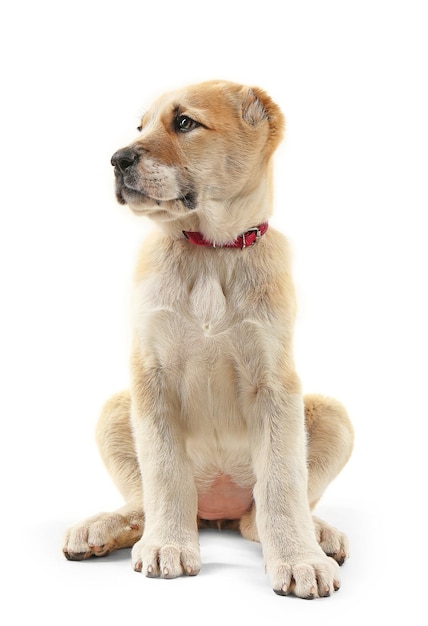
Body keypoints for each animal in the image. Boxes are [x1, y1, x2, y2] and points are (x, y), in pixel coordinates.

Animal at [62, 80, 352, 596]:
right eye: (141, 126)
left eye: (184, 123)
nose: (116, 159)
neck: (212, 251)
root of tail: (216, 511)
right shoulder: (151, 377)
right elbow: (164, 474)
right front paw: (168, 547)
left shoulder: (274, 383)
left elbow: (282, 481)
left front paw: (299, 559)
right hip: (116, 409)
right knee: (145, 504)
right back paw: (106, 527)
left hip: (334, 416)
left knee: (259, 516)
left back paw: (318, 536)